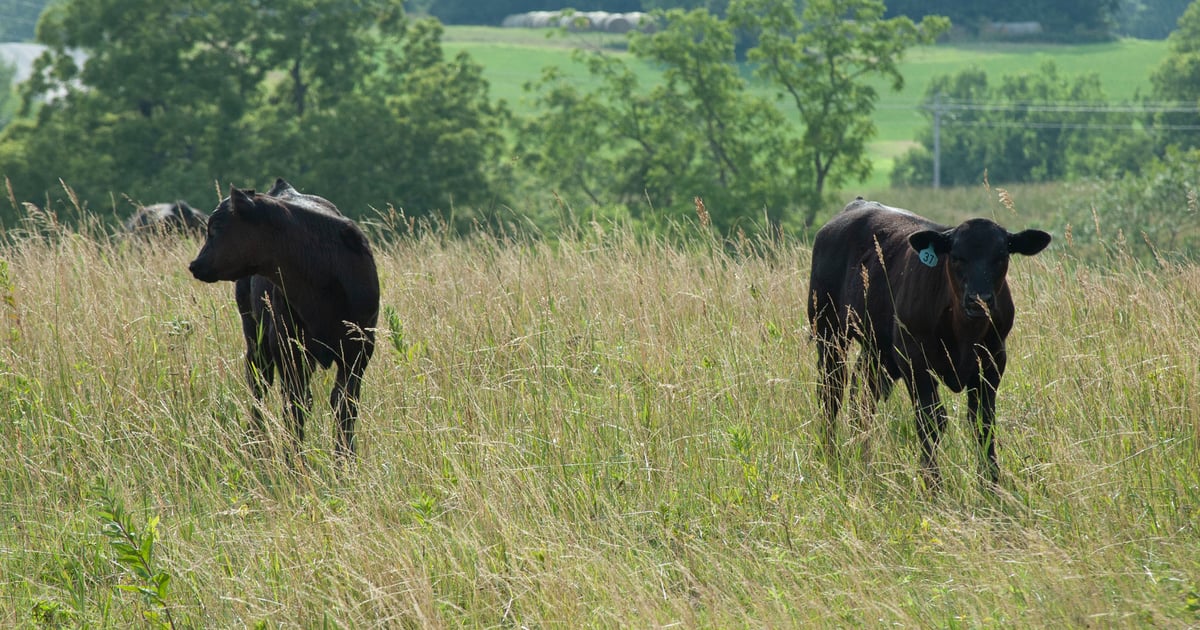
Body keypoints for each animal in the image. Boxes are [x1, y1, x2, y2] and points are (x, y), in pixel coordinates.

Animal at [188, 179, 380, 460]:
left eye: (217, 227)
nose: (195, 264)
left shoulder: (359, 349)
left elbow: (344, 404)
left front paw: (345, 460)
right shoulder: (287, 347)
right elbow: (295, 405)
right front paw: (294, 460)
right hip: (256, 341)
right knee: (259, 387)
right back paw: (255, 443)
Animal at [808, 198, 1051, 489]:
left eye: (1001, 255)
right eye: (956, 256)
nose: (978, 300)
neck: (963, 331)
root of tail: (858, 204)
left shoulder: (993, 361)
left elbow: (983, 422)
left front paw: (990, 485)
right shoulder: (915, 360)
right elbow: (931, 420)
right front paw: (932, 484)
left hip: (877, 349)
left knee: (862, 397)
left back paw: (863, 457)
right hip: (829, 332)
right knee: (830, 395)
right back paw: (830, 457)